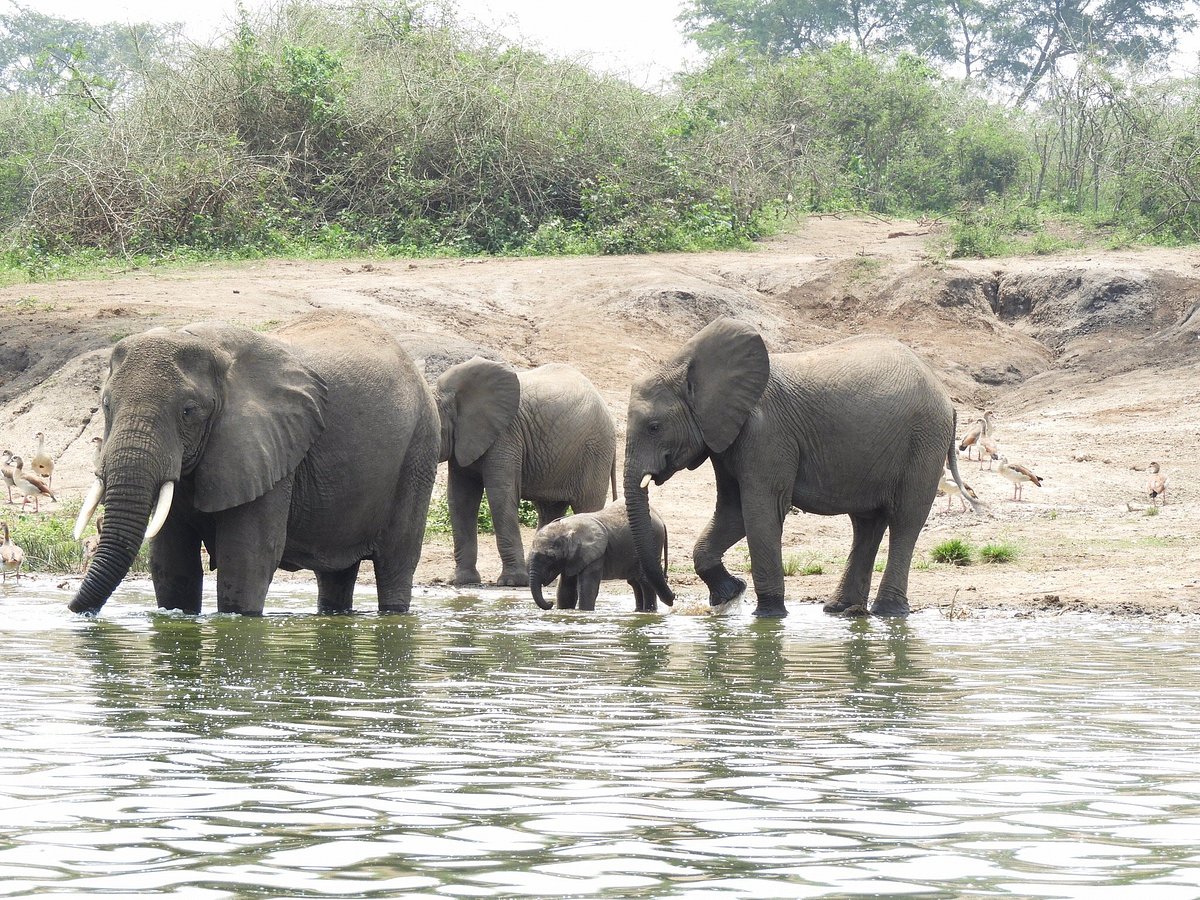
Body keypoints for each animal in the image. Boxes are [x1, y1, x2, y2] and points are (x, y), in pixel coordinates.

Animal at [69, 314, 441, 619]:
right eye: (106, 404)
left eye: (189, 411)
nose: (77, 612)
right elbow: (171, 562)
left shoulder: (270, 450)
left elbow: (248, 557)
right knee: (335, 574)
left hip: (419, 449)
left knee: (396, 562)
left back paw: (393, 612)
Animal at [434, 355, 619, 588]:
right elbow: (460, 499)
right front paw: (461, 581)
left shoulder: (505, 436)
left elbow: (500, 496)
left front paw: (510, 582)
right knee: (549, 510)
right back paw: (539, 576)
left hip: (595, 451)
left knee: (586, 506)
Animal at [530, 496, 672, 619]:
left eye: (551, 557)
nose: (550, 603)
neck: (566, 528)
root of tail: (660, 518)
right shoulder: (572, 558)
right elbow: (566, 590)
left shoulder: (595, 555)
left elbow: (588, 588)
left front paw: (585, 613)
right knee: (635, 582)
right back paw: (638, 612)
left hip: (654, 541)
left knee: (645, 581)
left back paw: (648, 612)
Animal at [624, 316, 969, 619]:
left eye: (654, 427)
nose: (670, 600)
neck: (684, 366)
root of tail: (947, 398)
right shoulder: (727, 439)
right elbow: (732, 510)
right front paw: (730, 593)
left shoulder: (767, 434)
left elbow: (760, 511)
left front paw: (768, 614)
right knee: (866, 524)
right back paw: (840, 610)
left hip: (923, 442)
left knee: (905, 520)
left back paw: (887, 612)